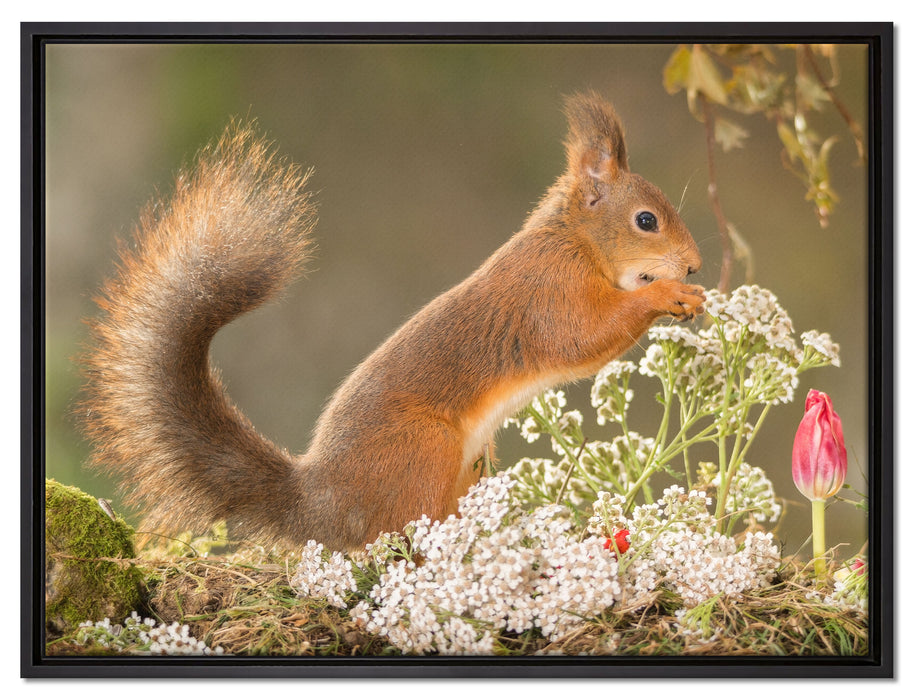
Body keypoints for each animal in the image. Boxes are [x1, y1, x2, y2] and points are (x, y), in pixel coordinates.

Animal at [79, 92, 705, 553]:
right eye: (646, 220)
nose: (695, 264)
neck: (574, 240)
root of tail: (319, 504)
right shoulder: (549, 292)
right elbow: (584, 336)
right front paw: (670, 294)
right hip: (421, 452)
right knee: (400, 537)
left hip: (470, 464)